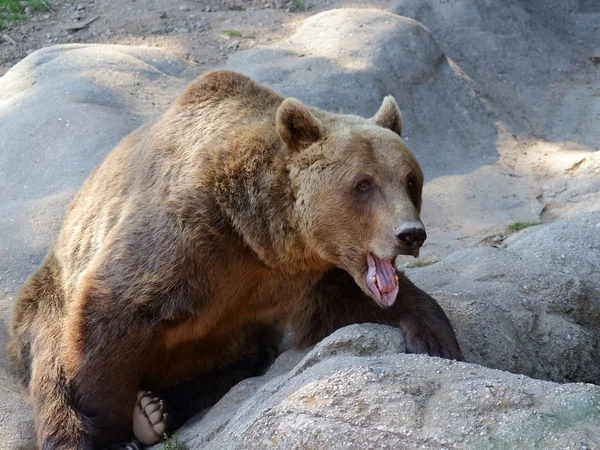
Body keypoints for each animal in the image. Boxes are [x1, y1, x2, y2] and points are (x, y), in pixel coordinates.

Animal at [7, 70, 462, 450]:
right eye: (363, 184)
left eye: (410, 179)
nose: (410, 233)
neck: (263, 238)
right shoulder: (185, 236)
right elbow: (113, 313)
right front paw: (113, 437)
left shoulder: (297, 279)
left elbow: (343, 307)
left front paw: (437, 339)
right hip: (45, 300)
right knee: (52, 372)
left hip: (232, 339)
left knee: (236, 363)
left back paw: (156, 411)